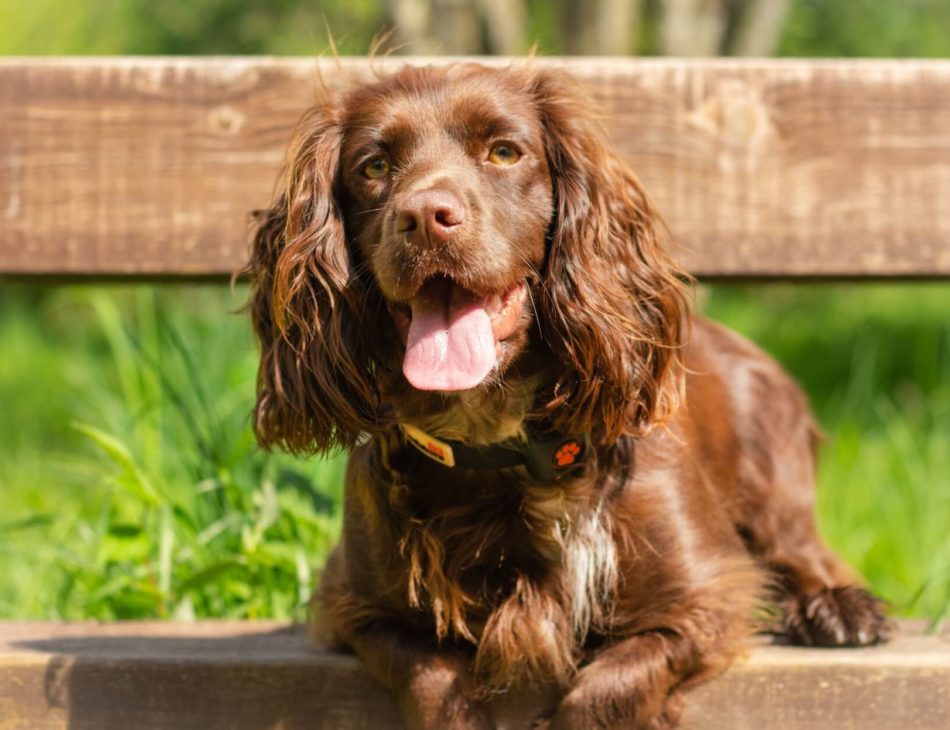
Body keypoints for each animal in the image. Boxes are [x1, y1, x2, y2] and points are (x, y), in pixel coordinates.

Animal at [247, 64, 892, 728]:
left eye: (504, 152)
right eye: (373, 166)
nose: (425, 216)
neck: (498, 440)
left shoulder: (708, 595)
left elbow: (605, 690)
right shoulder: (354, 605)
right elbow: (431, 680)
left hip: (771, 469)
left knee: (804, 552)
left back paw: (837, 609)